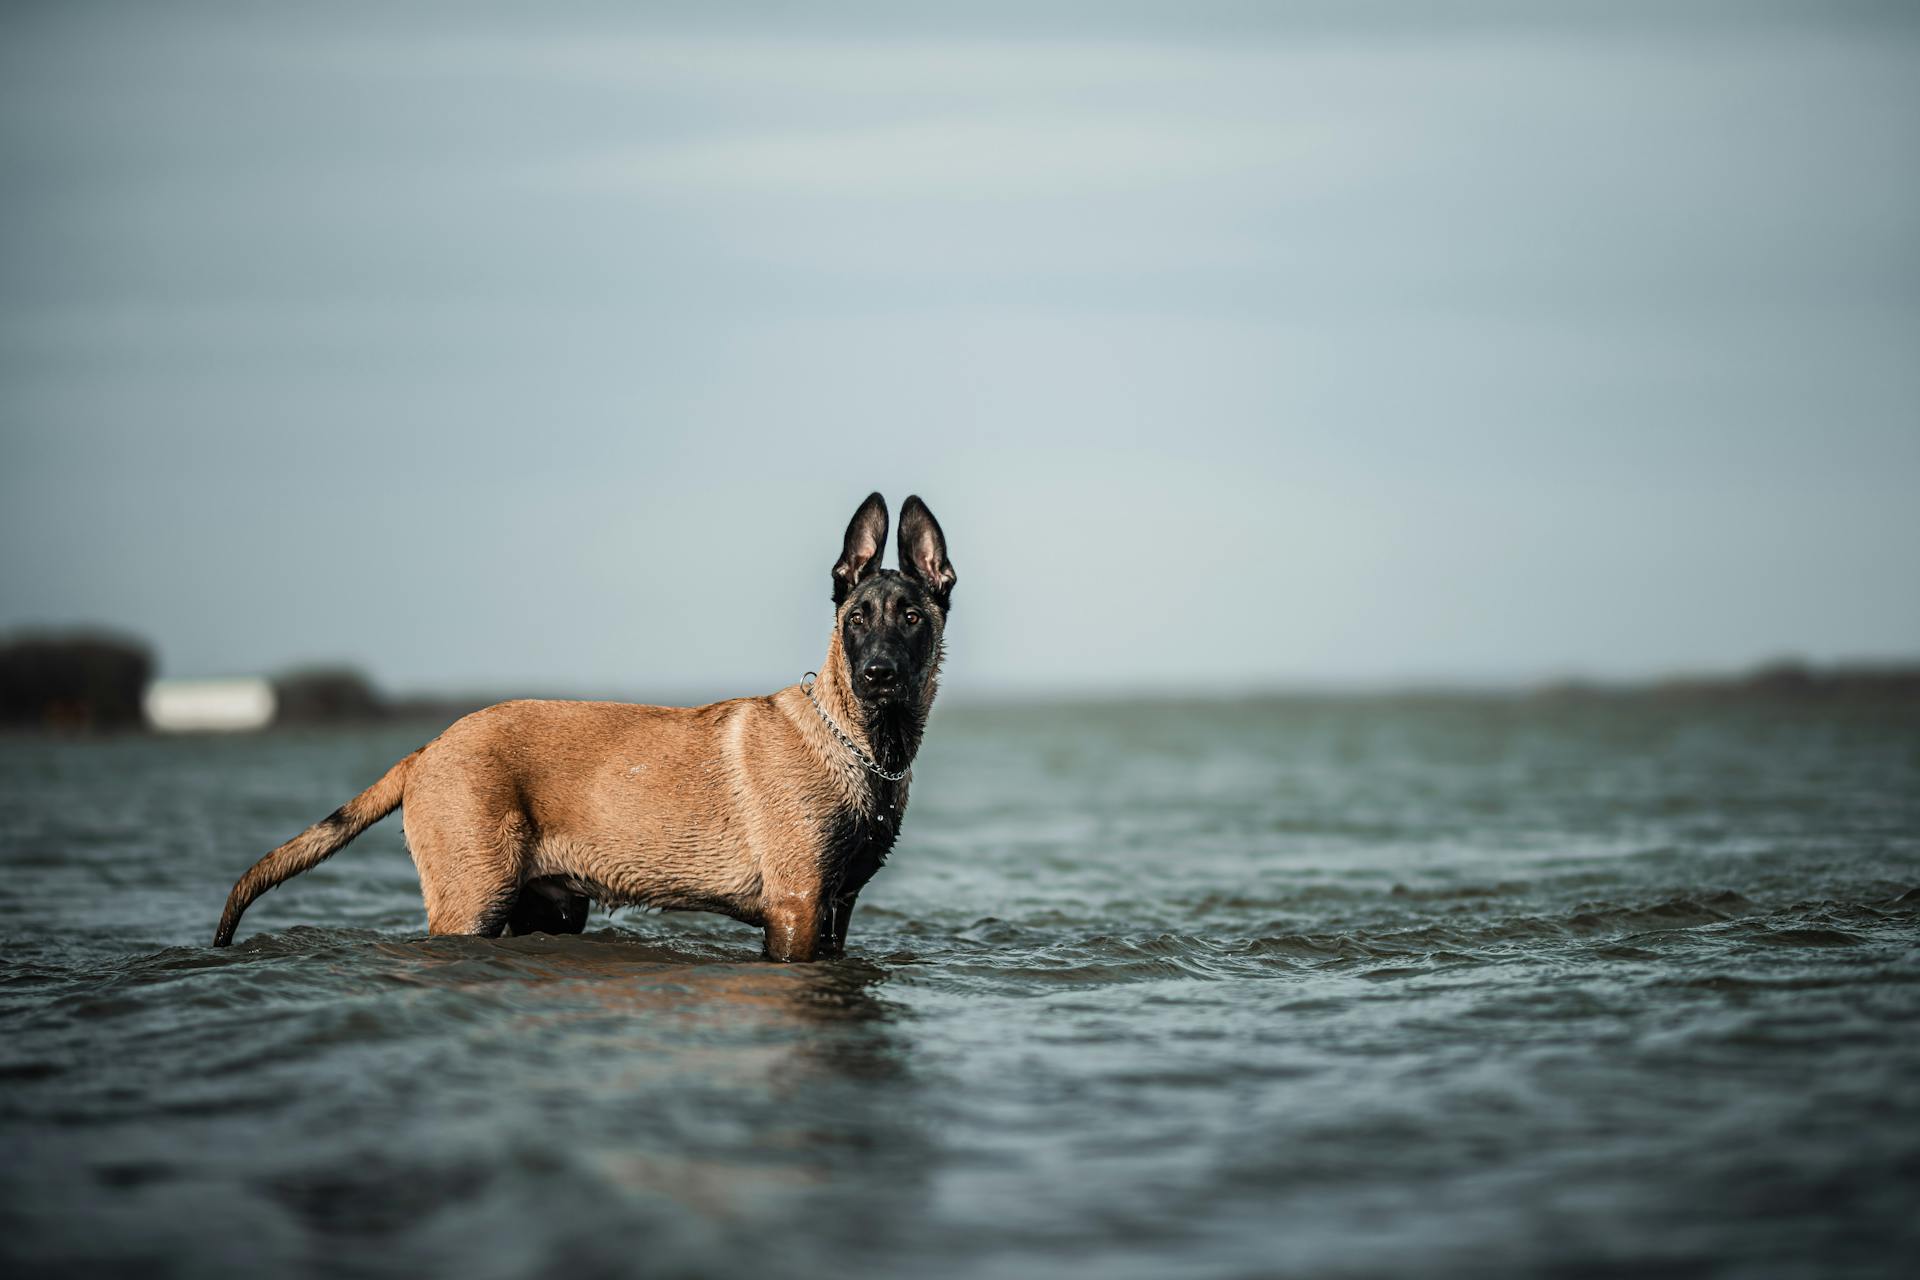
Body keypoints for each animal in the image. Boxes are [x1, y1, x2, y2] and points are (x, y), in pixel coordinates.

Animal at [214, 491, 956, 959]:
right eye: (856, 619)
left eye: (911, 618)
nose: (879, 676)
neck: (863, 744)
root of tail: (429, 748)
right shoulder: (796, 909)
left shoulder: (836, 910)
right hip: (472, 902)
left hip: (545, 908)